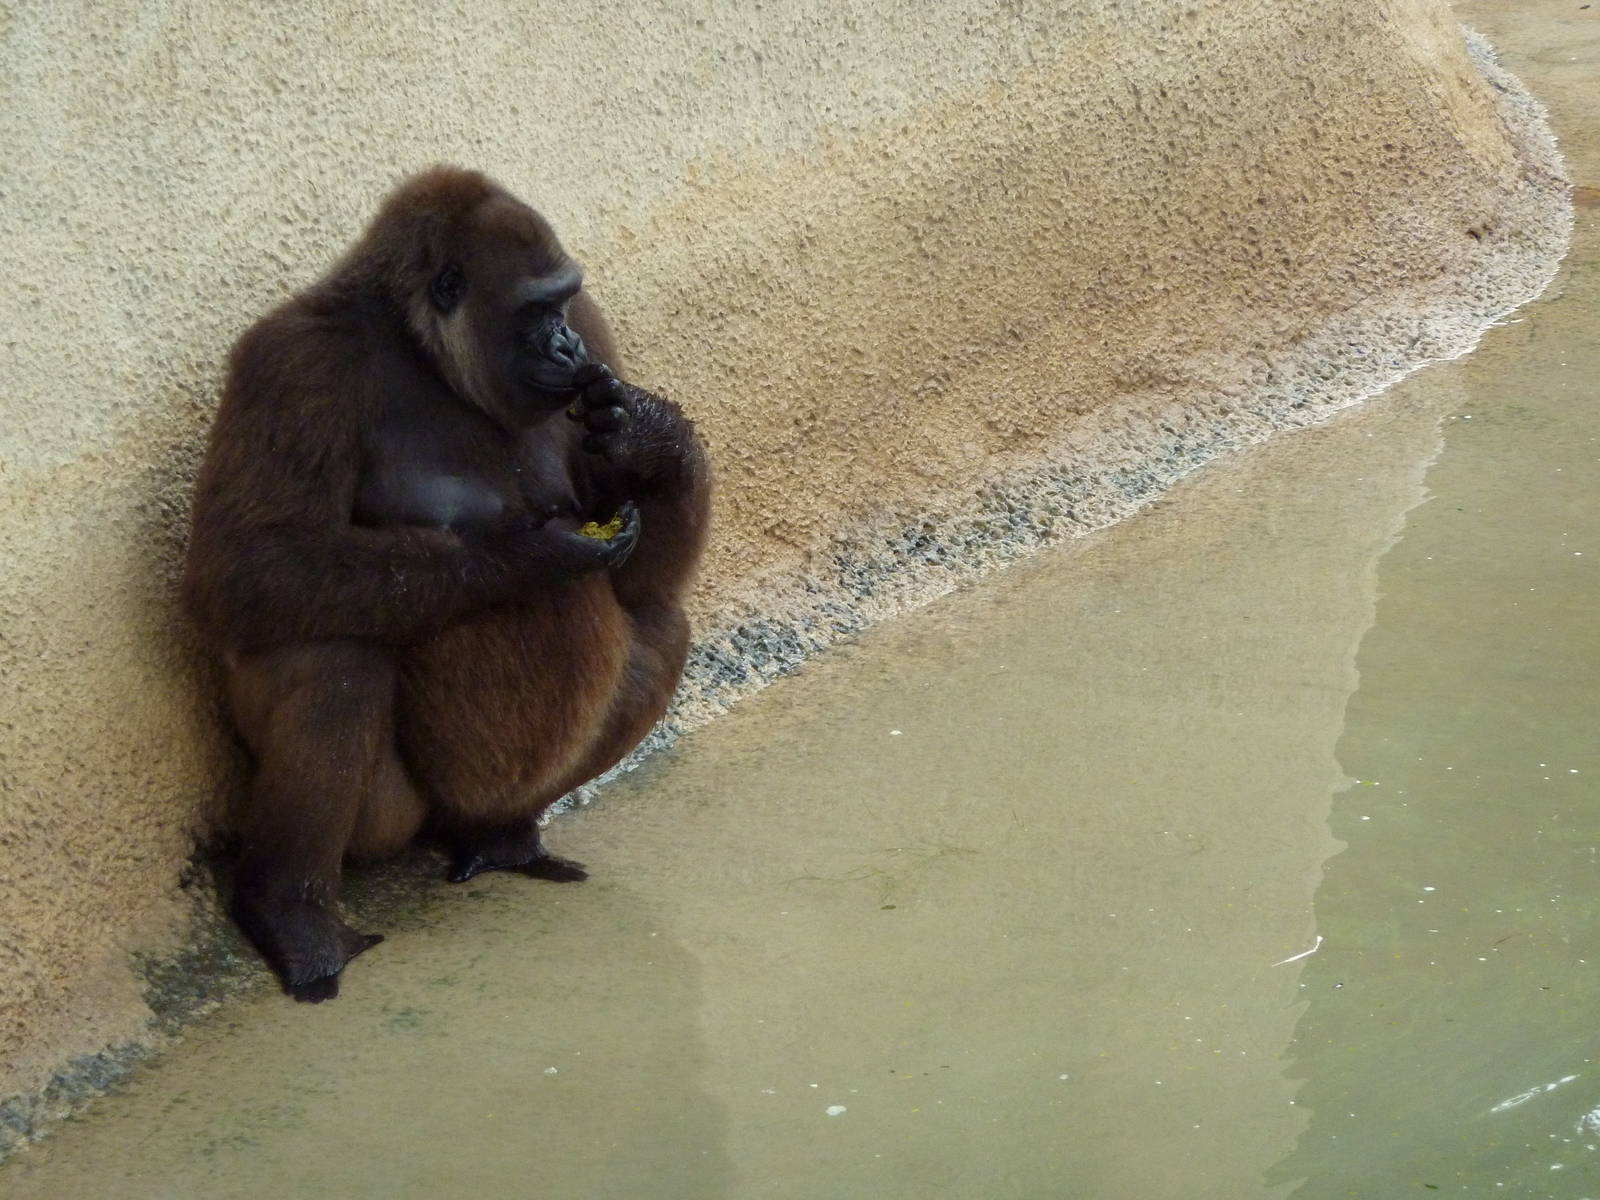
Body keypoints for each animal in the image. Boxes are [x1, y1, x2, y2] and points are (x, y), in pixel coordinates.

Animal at [182, 166, 710, 1002]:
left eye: (564, 305)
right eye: (534, 310)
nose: (564, 343)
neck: (425, 353)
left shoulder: (594, 343)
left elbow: (643, 575)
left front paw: (649, 436)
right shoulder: (294, 362)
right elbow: (249, 569)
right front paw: (533, 555)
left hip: (473, 809)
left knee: (662, 619)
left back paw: (503, 838)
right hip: (393, 824)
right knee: (329, 654)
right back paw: (290, 908)